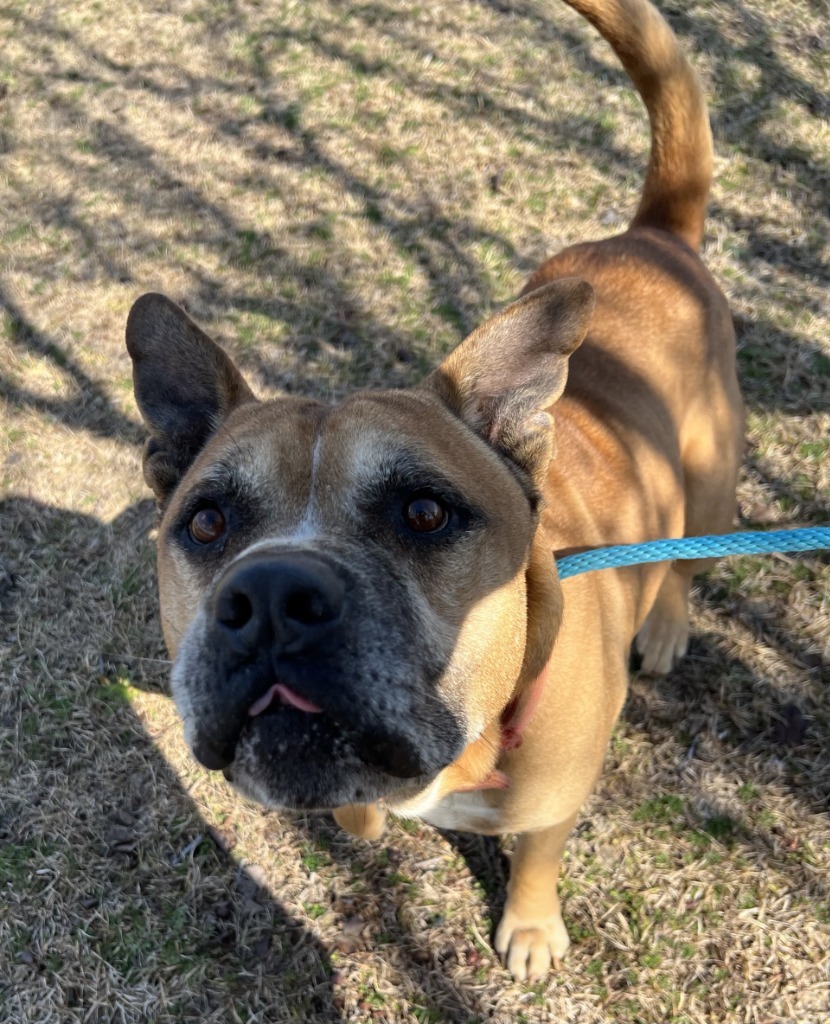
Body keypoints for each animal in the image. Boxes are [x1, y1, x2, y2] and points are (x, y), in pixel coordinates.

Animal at [126, 0, 745, 978]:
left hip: (715, 482)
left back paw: (670, 623)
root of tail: (654, 233)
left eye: (424, 513)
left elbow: (539, 853)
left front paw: (529, 927)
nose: (270, 597)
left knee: (689, 559)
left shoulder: (556, 801)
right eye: (208, 523)